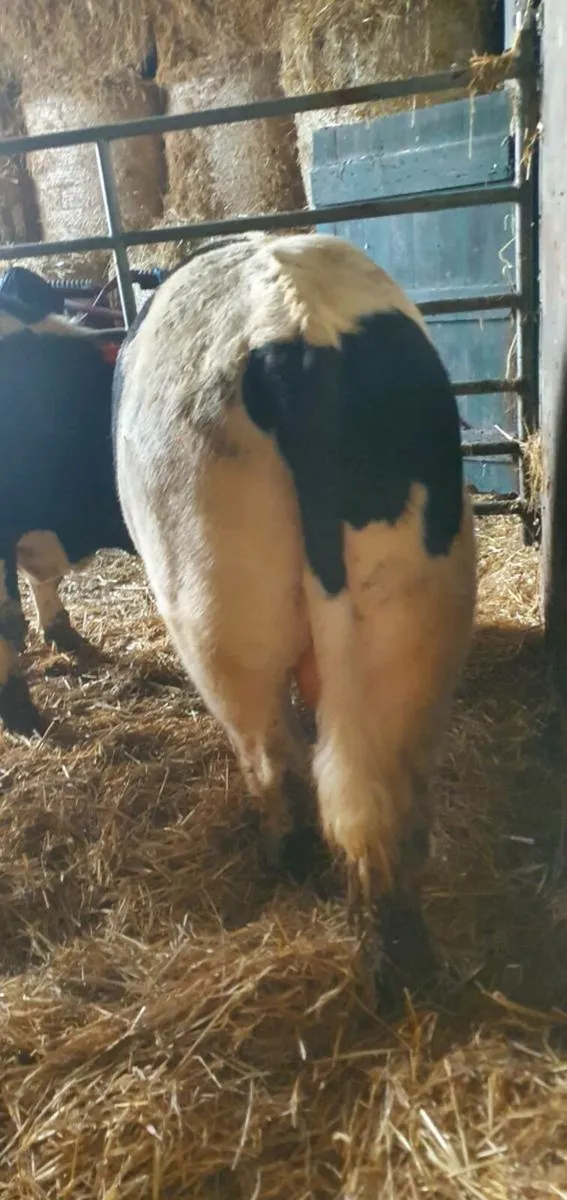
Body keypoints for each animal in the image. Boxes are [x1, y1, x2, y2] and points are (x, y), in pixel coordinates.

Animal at [112, 232, 477, 1001]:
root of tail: (293, 330)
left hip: (215, 613)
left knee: (273, 758)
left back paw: (287, 867)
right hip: (411, 614)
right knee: (390, 791)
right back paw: (403, 964)